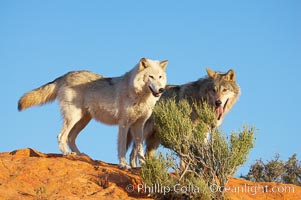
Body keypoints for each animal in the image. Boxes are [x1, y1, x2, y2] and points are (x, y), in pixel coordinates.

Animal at [18, 57, 169, 169]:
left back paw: (80, 155)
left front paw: (145, 167)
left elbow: (139, 149)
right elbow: (122, 148)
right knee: (61, 136)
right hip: (74, 117)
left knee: (71, 137)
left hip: (83, 121)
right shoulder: (123, 124)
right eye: (151, 77)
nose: (161, 90)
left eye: (160, 77)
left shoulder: (139, 125)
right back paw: (67, 153)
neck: (140, 96)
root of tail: (66, 75)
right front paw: (123, 165)